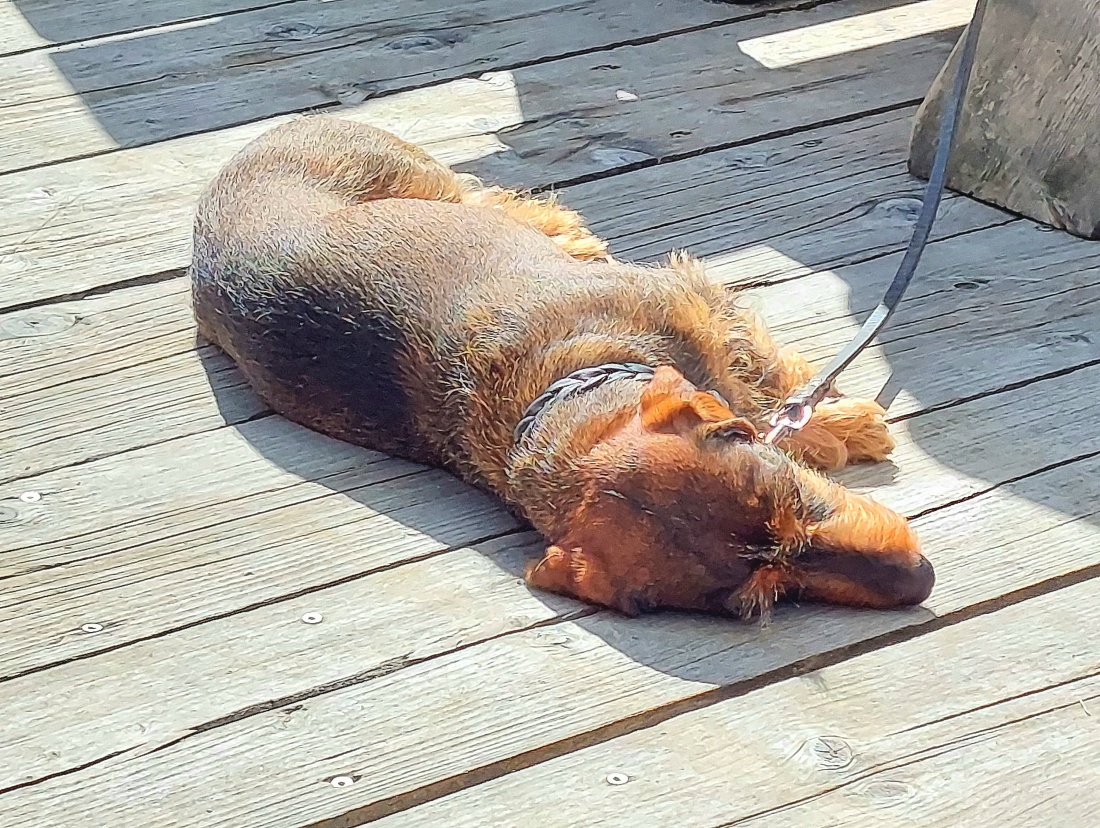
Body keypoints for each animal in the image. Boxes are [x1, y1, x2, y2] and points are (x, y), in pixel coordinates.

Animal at [193, 116, 932, 620]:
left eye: (799, 502)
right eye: (764, 595)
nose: (920, 579)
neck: (563, 386)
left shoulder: (695, 302)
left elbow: (757, 376)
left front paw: (837, 423)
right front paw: (832, 426)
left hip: (423, 182)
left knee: (493, 199)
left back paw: (567, 234)